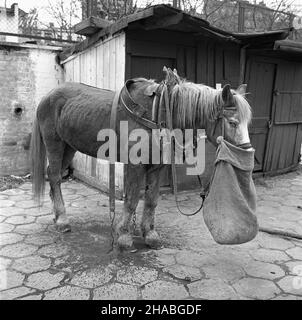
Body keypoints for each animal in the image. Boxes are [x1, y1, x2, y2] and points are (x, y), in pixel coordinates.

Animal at [30, 69, 252, 250]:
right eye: (232, 122)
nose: (246, 155)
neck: (157, 114)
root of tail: (47, 96)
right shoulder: (135, 166)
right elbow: (132, 199)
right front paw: (124, 236)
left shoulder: (157, 167)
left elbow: (151, 199)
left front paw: (149, 234)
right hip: (55, 143)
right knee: (55, 177)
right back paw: (62, 221)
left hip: (69, 146)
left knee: (54, 176)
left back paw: (57, 215)